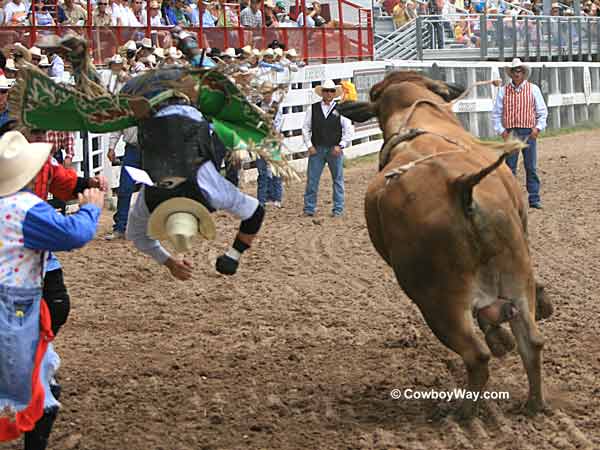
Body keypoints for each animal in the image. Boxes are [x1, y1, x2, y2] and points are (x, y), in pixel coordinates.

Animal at [338, 71, 552, 418]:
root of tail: (460, 187)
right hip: (515, 277)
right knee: (530, 343)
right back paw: (533, 403)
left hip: (436, 301)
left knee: (477, 355)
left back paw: (462, 412)